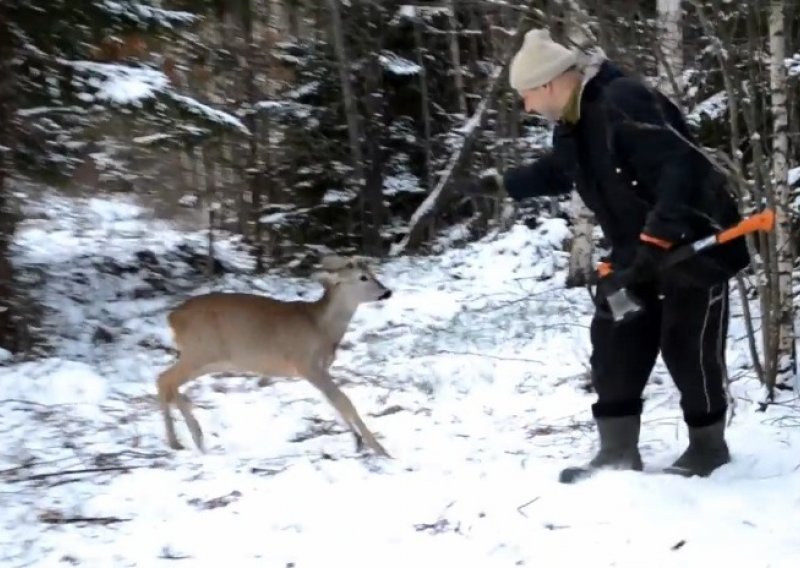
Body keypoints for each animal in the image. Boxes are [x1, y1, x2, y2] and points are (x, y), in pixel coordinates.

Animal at [155, 255, 392, 460]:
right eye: (363, 277)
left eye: (372, 272)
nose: (387, 291)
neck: (321, 328)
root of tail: (172, 317)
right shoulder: (306, 363)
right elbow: (344, 401)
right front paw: (380, 449)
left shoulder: (320, 367)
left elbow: (334, 402)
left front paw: (358, 441)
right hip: (199, 351)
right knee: (166, 379)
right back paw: (192, 436)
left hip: (208, 359)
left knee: (165, 381)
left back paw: (180, 441)